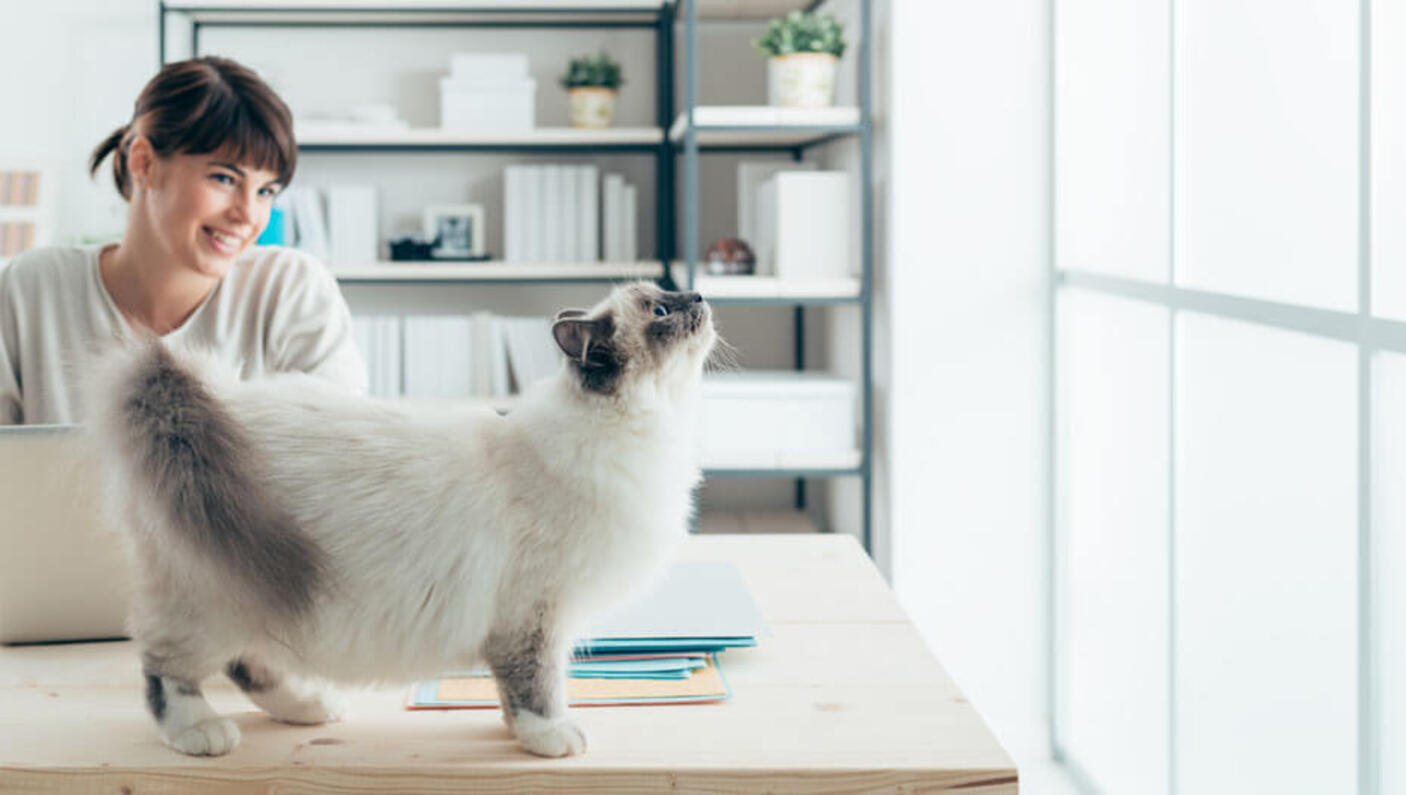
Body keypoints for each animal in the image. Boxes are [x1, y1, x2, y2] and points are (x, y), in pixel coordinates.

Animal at [86, 280, 719, 754]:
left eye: (669, 297)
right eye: (661, 310)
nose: (699, 294)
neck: (650, 430)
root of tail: (205, 401)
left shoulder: (530, 618)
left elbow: (511, 694)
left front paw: (519, 734)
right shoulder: (536, 616)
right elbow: (536, 687)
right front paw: (551, 738)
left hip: (261, 591)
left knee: (249, 664)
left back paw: (311, 707)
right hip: (216, 596)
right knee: (167, 670)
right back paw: (202, 732)